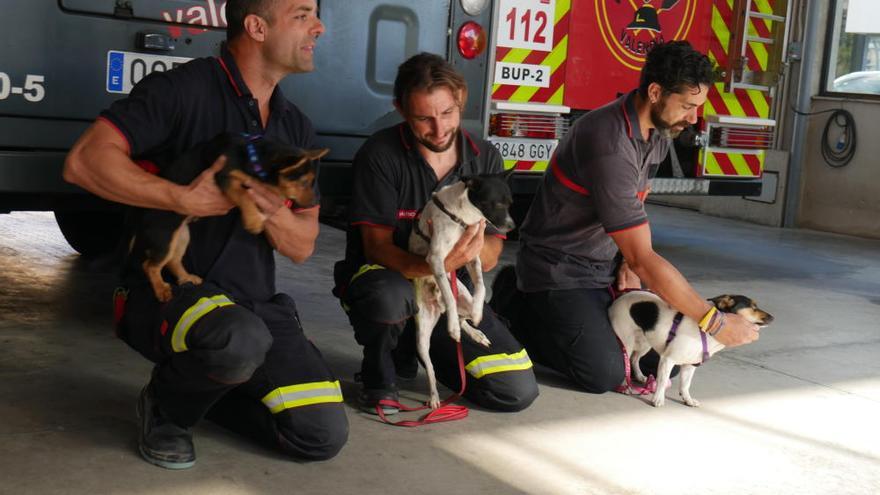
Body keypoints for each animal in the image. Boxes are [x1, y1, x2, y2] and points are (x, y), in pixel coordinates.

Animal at [134, 132, 330, 302]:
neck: (253, 156)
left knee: (173, 261)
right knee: (149, 265)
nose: (315, 202)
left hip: (181, 236)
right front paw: (253, 221)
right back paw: (161, 290)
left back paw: (186, 278)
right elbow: (244, 195)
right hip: (164, 238)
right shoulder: (225, 176)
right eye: (304, 182)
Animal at [410, 169, 520, 408]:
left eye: (510, 203)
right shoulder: (437, 260)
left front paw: (478, 313)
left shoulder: (472, 257)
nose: (512, 227)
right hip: (422, 336)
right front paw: (451, 327)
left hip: (464, 299)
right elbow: (451, 297)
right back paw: (434, 398)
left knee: (464, 316)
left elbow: (480, 286)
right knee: (431, 367)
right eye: (497, 204)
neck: (462, 218)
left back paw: (476, 332)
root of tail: (438, 305)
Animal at [608, 290, 772, 406]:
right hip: (626, 341)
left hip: (645, 343)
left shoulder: (690, 365)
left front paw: (688, 400)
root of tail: (618, 298)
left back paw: (640, 376)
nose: (773, 317)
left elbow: (686, 385)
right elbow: (662, 381)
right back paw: (624, 385)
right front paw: (658, 399)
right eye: (753, 307)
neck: (706, 333)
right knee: (625, 361)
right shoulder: (668, 360)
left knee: (634, 359)